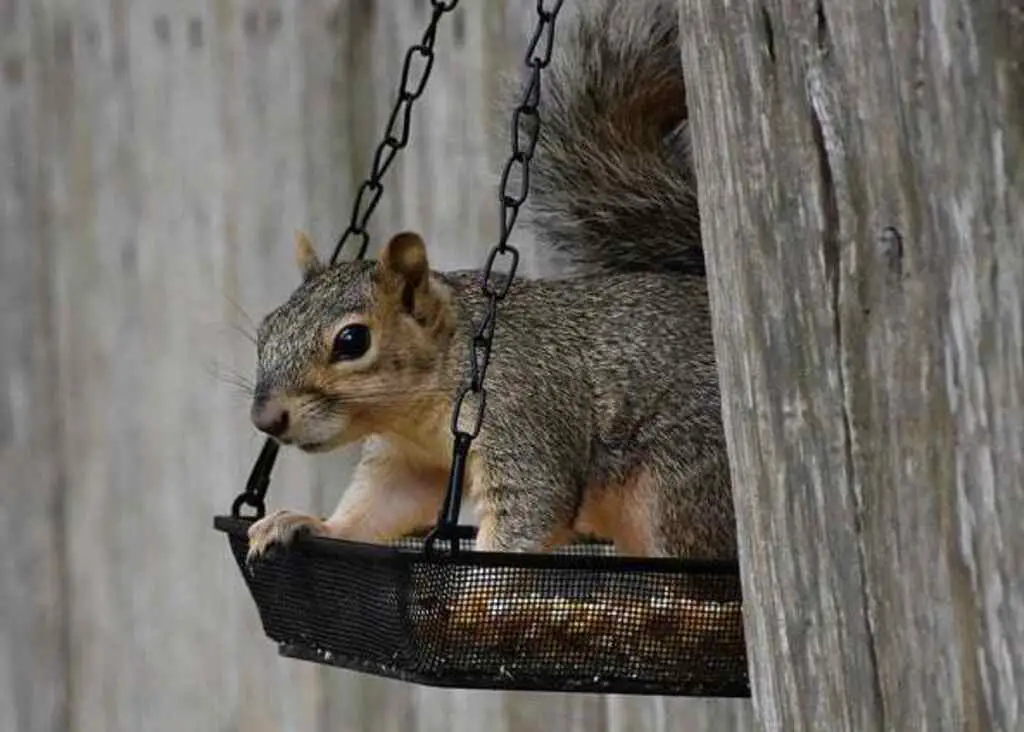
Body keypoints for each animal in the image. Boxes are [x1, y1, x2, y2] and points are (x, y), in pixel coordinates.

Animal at [243, 0, 741, 565]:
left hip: (683, 484)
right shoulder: (408, 461)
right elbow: (377, 509)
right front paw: (306, 523)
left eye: (352, 340)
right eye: (265, 330)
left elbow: (528, 509)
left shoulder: (520, 412)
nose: (266, 419)